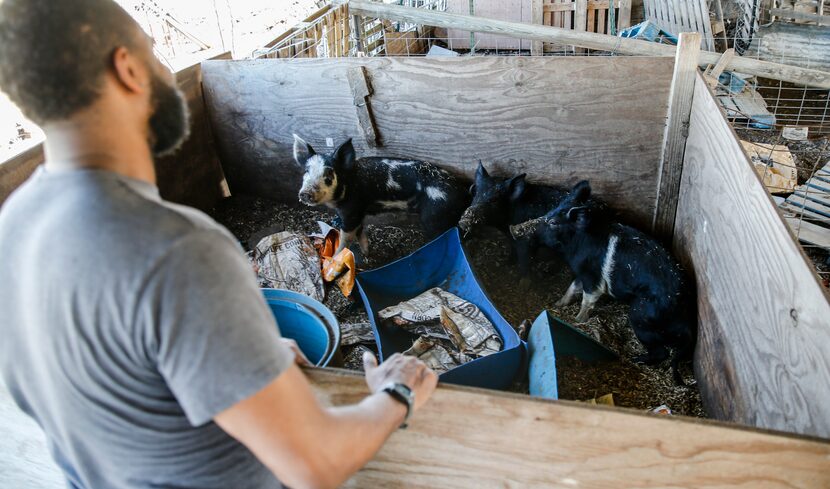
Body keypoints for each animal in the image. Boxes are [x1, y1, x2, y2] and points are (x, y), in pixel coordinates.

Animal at [296, 133, 472, 255]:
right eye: (306, 171)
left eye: (329, 175)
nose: (305, 193)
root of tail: (463, 191)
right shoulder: (358, 213)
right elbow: (360, 232)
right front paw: (366, 253)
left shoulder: (351, 211)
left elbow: (346, 238)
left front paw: (335, 258)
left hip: (435, 216)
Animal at [510, 180, 700, 386]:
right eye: (551, 211)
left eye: (553, 223)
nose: (515, 228)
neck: (578, 245)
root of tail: (685, 318)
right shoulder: (583, 272)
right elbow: (572, 288)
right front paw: (557, 304)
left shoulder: (593, 278)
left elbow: (588, 299)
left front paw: (577, 320)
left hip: (641, 315)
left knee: (661, 352)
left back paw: (635, 359)